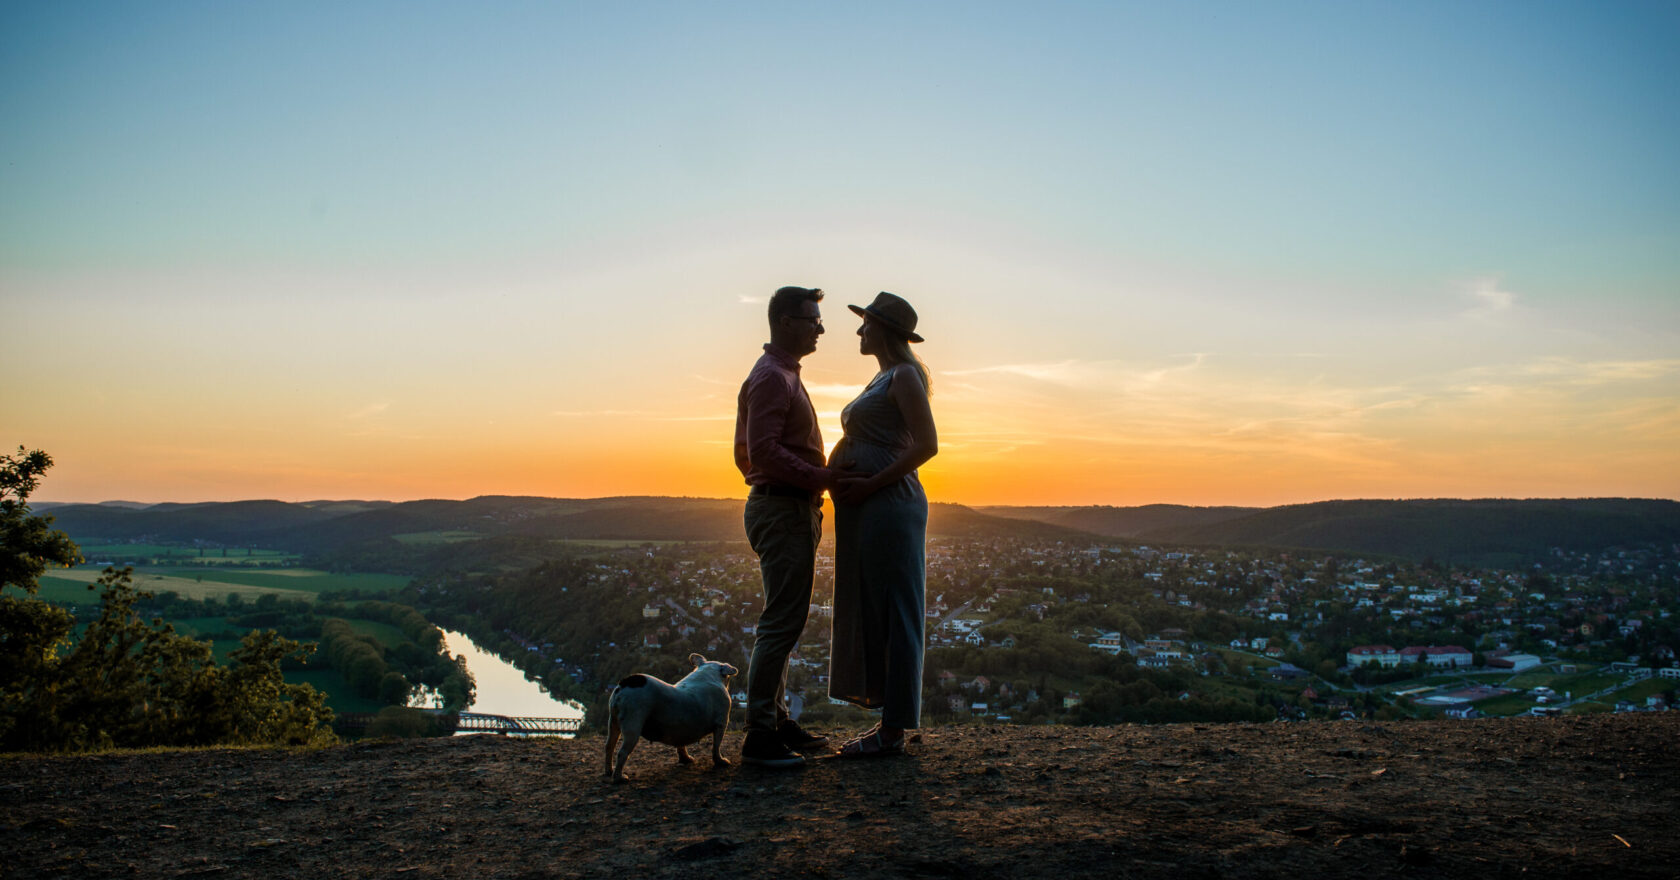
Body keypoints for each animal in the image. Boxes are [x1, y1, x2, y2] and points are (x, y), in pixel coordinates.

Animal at [604, 651, 735, 782]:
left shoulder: (682, 728)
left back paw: (609, 771)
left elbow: (681, 744)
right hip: (633, 722)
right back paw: (619, 778)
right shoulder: (721, 723)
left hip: (613, 721)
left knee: (609, 746)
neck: (708, 672)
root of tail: (624, 684)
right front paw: (721, 761)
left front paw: (686, 759)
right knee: (622, 752)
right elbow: (716, 746)